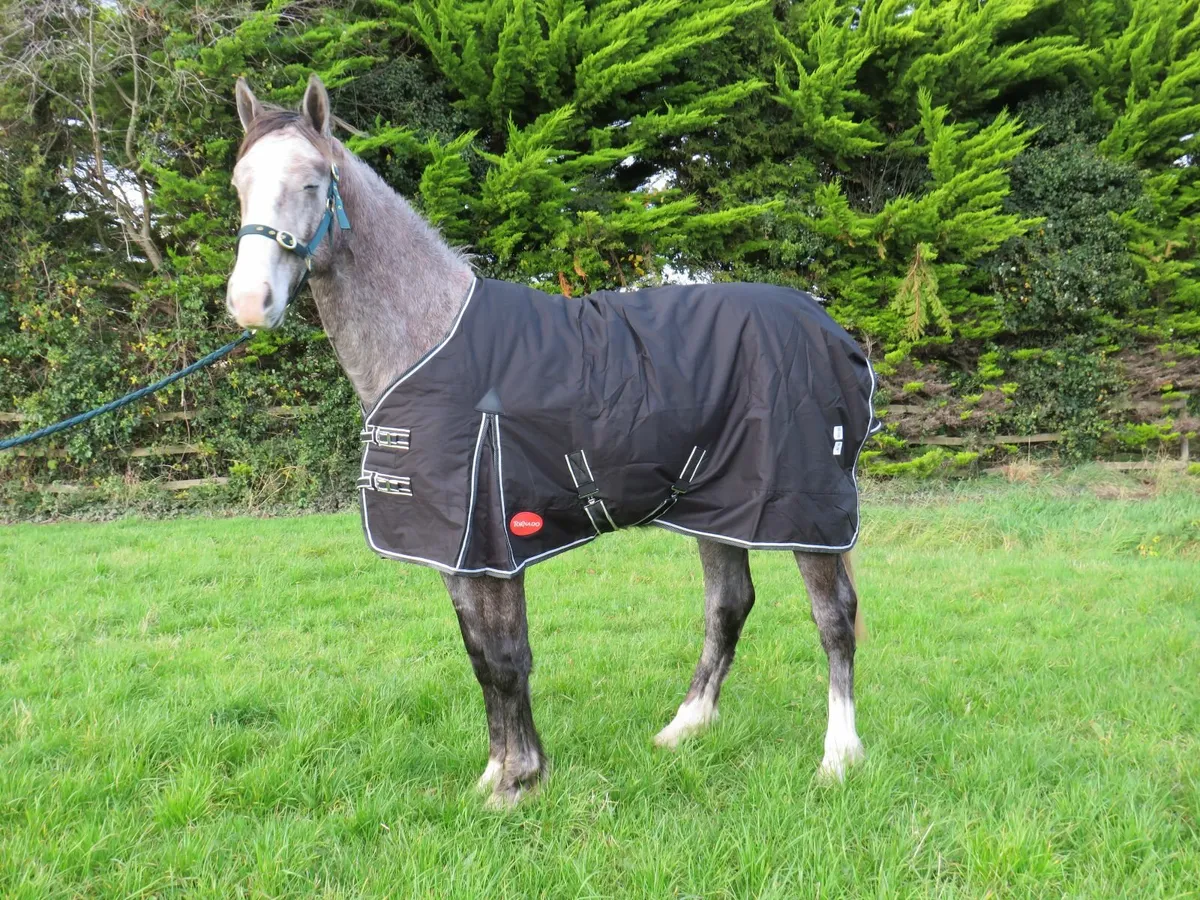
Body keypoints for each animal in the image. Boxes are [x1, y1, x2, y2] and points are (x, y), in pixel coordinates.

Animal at [225, 74, 871, 807]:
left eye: (312, 182)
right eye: (240, 183)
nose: (249, 302)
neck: (433, 339)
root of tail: (827, 326)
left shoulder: (492, 540)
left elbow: (507, 659)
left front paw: (516, 783)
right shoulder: (459, 550)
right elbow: (483, 656)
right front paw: (502, 772)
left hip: (805, 513)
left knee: (834, 617)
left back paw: (839, 757)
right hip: (722, 508)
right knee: (728, 606)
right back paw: (684, 730)